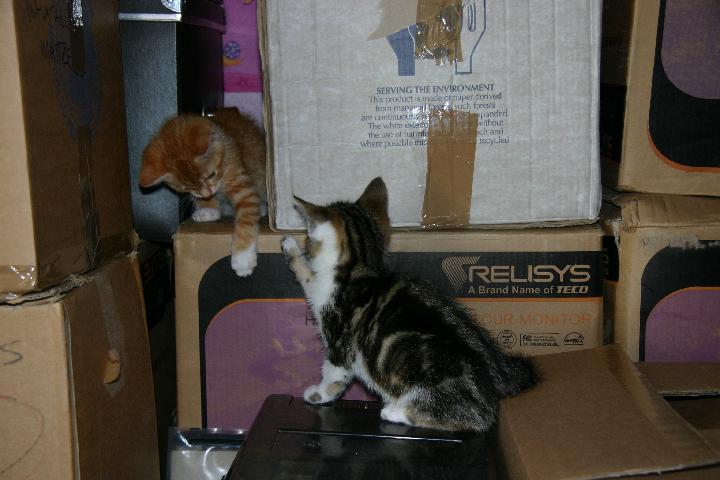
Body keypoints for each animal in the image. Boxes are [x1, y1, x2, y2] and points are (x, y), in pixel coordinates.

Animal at [139, 108, 266, 277]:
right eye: (186, 188)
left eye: (211, 174)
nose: (206, 194)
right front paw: (207, 209)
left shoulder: (240, 182)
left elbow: (246, 215)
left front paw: (243, 258)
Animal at [281, 177, 537, 432]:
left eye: (308, 238)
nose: (305, 243)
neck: (361, 268)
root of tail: (498, 384)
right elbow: (309, 278)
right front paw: (291, 248)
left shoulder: (338, 343)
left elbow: (332, 375)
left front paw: (318, 395)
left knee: (476, 417)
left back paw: (395, 411)